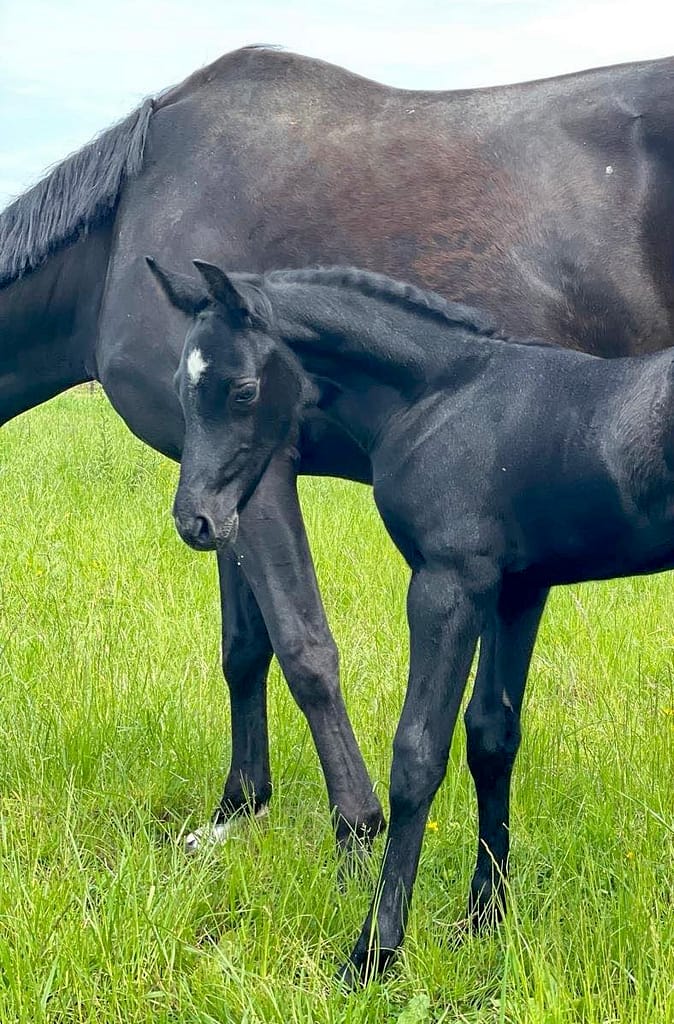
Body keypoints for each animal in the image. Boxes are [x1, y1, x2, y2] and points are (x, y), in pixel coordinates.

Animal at [1, 45, 673, 856]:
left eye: (243, 390)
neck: (124, 232)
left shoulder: (259, 480)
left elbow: (304, 648)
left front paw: (356, 827)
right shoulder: (216, 494)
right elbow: (243, 647)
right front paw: (235, 809)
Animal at [149, 257, 674, 982]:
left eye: (243, 391)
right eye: (180, 385)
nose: (196, 520)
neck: (446, 398)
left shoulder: (447, 586)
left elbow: (417, 757)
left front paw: (373, 952)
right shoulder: (516, 590)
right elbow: (492, 738)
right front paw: (482, 922)